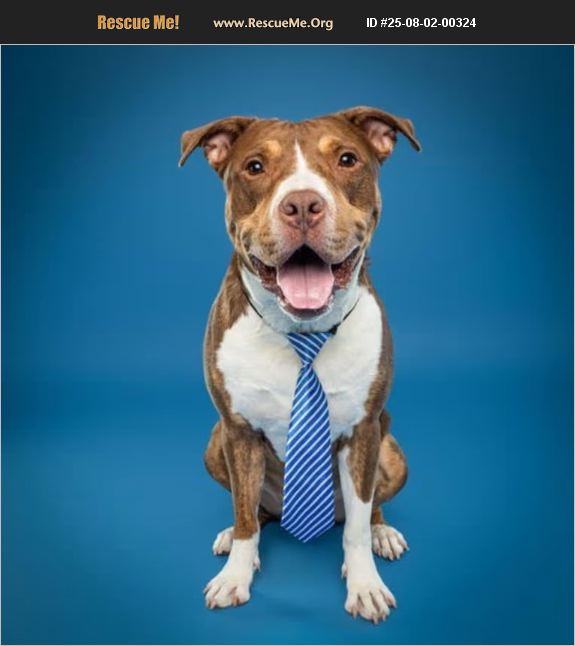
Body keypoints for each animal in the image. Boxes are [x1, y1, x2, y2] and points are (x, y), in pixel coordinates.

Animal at [179, 106, 420, 623]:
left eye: (347, 159)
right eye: (254, 167)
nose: (303, 204)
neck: (303, 333)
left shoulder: (364, 432)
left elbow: (356, 528)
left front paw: (365, 584)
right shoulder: (237, 432)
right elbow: (245, 516)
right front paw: (235, 574)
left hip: (392, 451)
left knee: (367, 509)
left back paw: (382, 532)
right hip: (214, 444)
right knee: (255, 512)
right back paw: (233, 536)